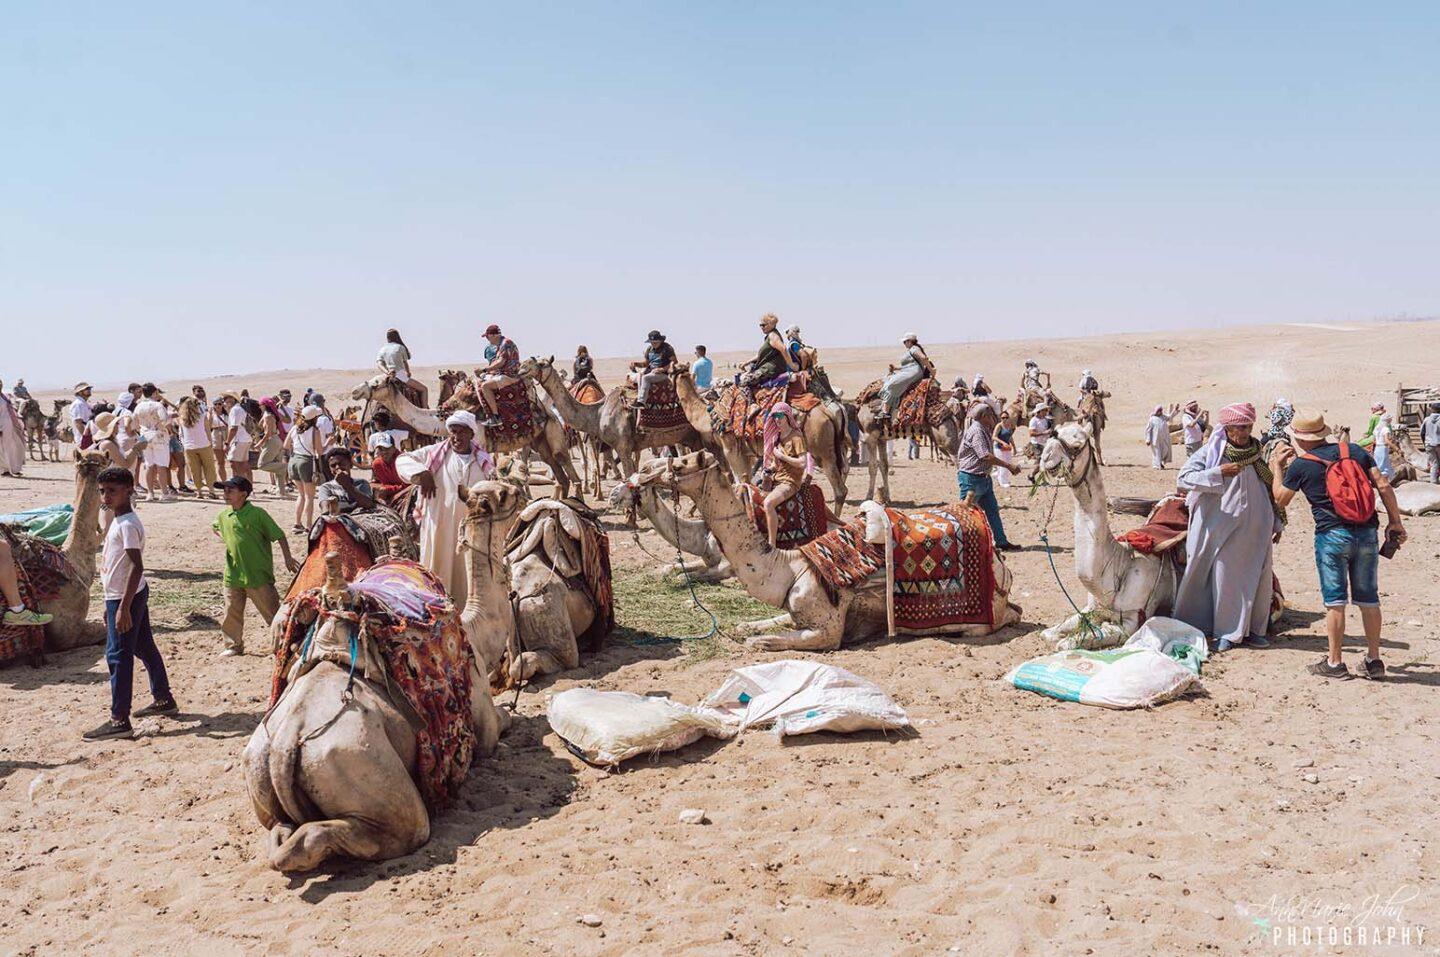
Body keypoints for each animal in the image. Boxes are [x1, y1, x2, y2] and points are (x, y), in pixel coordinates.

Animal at [244, 486, 521, 874]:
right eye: (503, 494)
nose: (522, 489)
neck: (476, 631)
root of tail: (285, 743)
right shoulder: (480, 718)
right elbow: (500, 724)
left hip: (257, 770)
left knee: (280, 832)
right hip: (360, 766)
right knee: (396, 828)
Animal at [351, 368, 581, 495]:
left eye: (376, 383)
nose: (355, 391)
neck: (442, 417)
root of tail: (547, 411)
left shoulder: (479, 441)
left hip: (553, 432)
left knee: (566, 466)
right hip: (539, 441)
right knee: (559, 474)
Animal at [624, 451, 1019, 653]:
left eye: (681, 463)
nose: (640, 476)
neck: (789, 566)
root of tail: (1002, 567)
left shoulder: (826, 631)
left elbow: (762, 640)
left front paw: (752, 637)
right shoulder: (794, 609)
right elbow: (758, 624)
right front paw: (743, 624)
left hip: (978, 620)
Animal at [671, 366, 846, 515]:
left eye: (668, 373)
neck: (708, 417)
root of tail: (828, 412)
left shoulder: (730, 448)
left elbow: (737, 481)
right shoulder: (745, 453)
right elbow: (746, 481)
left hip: (822, 451)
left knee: (840, 490)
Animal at [1042, 423, 1175, 633]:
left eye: (1077, 444)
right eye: (1051, 435)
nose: (1046, 458)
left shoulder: (1131, 620)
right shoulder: (1090, 608)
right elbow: (1048, 634)